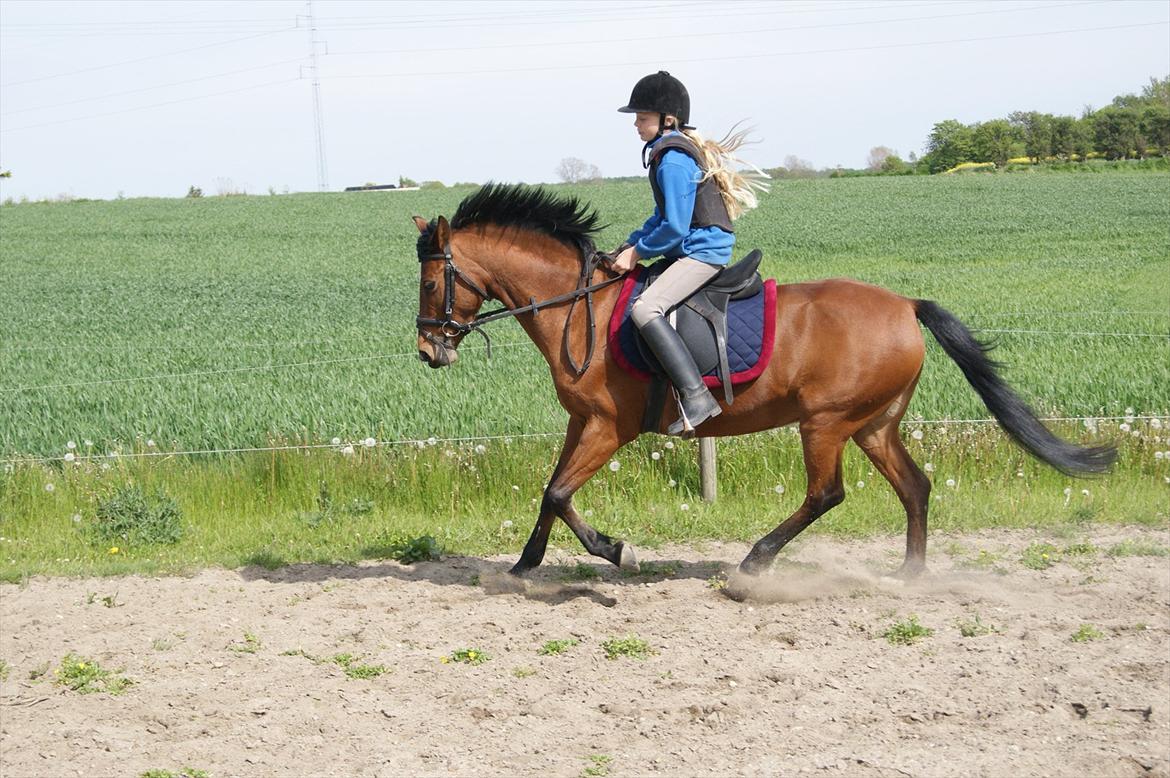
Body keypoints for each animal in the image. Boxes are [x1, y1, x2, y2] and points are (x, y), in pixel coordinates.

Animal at [411, 182, 1113, 582]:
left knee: (827, 494)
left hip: (825, 422)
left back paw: (756, 562)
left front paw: (619, 552)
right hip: (874, 423)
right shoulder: (581, 422)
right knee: (915, 486)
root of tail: (906, 305)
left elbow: (559, 494)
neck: (578, 308)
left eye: (431, 280)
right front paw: (523, 566)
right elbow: (547, 493)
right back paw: (910, 577)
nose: (426, 350)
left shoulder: (609, 427)